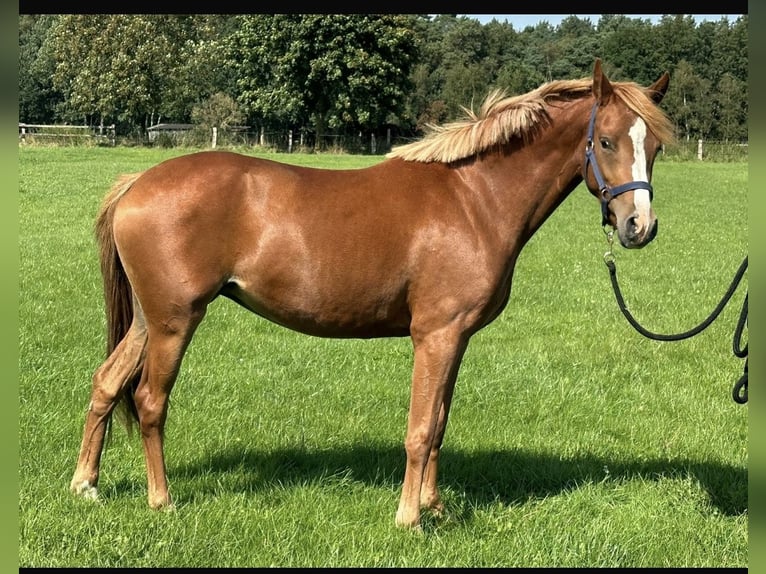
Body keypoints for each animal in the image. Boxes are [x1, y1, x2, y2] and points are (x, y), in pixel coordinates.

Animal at [70, 59, 672, 532]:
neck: (474, 198)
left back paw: (86, 485)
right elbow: (420, 428)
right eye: (606, 141)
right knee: (150, 400)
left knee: (107, 383)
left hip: (148, 319)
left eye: (656, 147)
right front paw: (410, 519)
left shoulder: (456, 339)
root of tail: (136, 183)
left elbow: (440, 425)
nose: (639, 227)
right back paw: (162, 500)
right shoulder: (435, 335)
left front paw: (436, 508)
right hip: (175, 322)